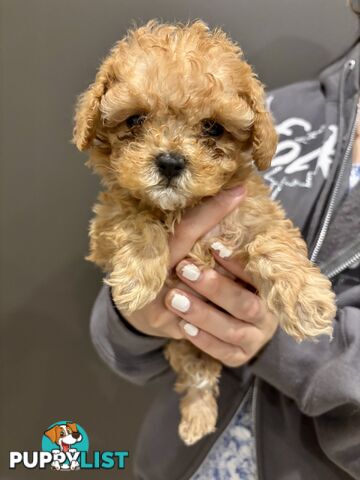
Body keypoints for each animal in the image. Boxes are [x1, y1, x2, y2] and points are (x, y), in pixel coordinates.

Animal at [72, 19, 334, 446]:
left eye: (212, 128)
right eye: (135, 120)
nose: (170, 162)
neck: (182, 208)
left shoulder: (253, 214)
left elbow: (271, 241)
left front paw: (306, 301)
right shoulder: (105, 224)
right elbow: (134, 216)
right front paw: (138, 276)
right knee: (196, 377)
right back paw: (196, 419)